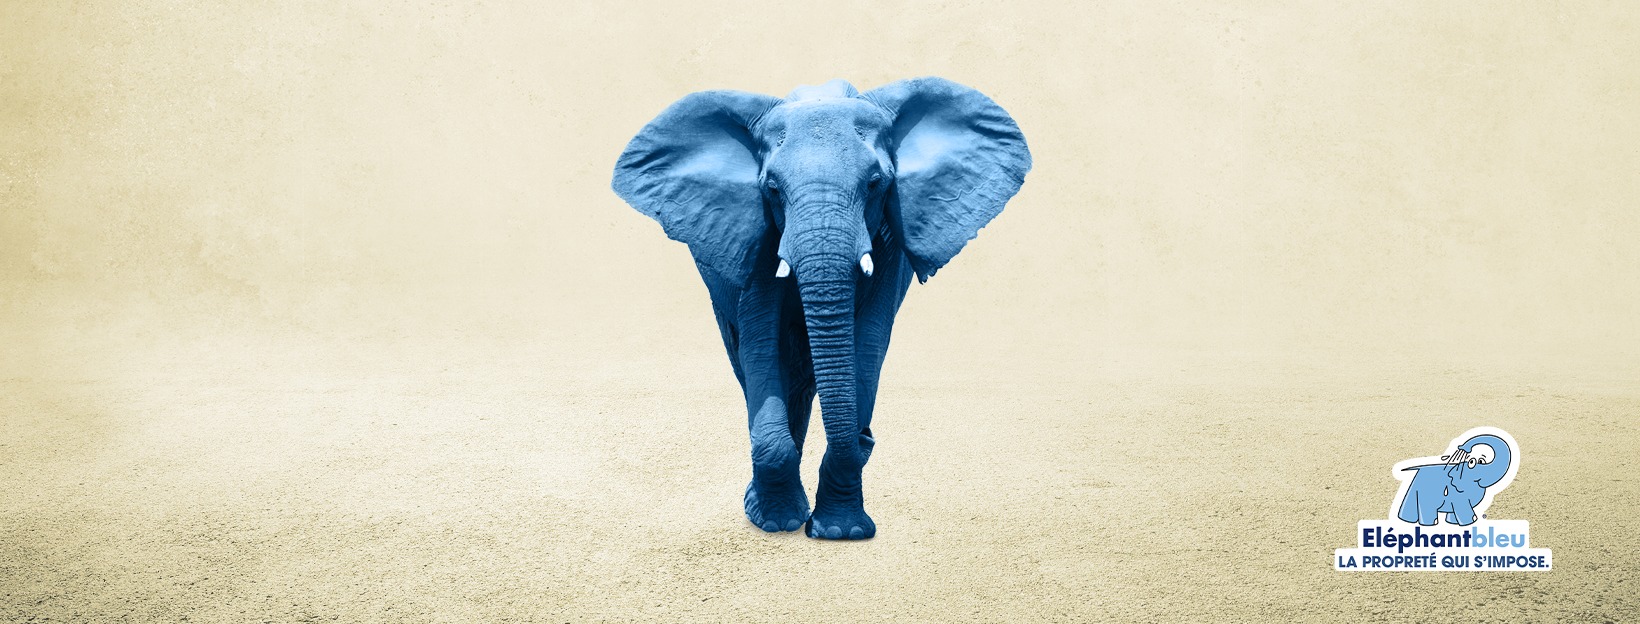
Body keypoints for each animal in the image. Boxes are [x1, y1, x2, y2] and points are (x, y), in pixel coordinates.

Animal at [611, 77, 1031, 539]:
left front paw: (840, 532)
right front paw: (776, 523)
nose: (867, 435)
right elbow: (762, 344)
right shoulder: (759, 235)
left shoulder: (889, 241)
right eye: (772, 189)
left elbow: (867, 343)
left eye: (875, 183)